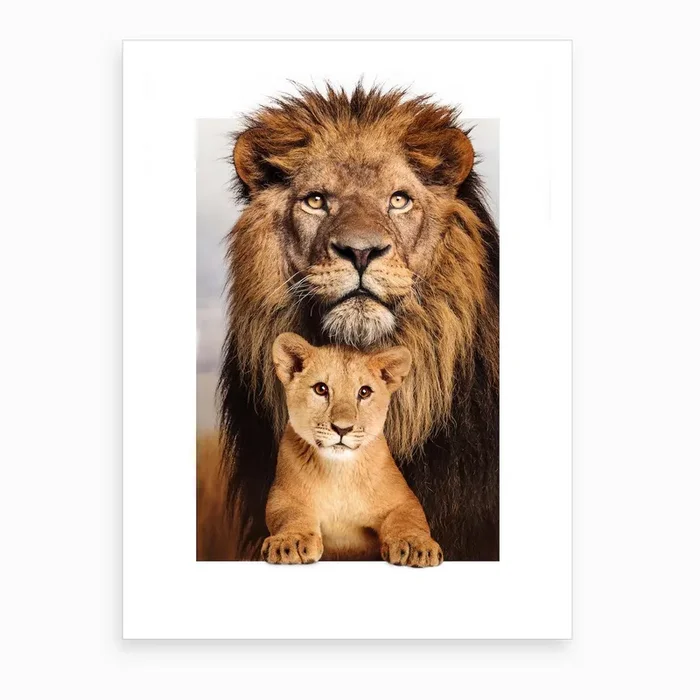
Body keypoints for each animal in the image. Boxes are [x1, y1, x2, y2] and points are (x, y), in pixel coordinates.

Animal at [262, 332, 442, 566]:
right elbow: (289, 515)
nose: (342, 428)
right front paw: (291, 541)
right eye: (321, 389)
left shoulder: (402, 500)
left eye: (364, 392)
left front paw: (415, 545)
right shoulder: (283, 495)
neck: (339, 471)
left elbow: (409, 519)